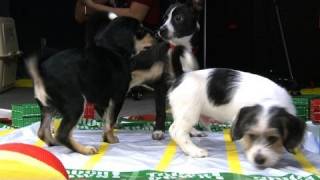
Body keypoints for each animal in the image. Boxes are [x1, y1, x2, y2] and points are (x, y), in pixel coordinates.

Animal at [26, 16, 154, 155]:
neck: (112, 49)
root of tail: (41, 71)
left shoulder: (101, 100)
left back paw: (55, 143)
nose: (156, 34)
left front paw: (106, 138)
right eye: (140, 30)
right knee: (62, 134)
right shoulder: (118, 97)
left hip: (48, 107)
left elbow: (106, 120)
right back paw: (85, 149)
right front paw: (111, 139)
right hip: (75, 104)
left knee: (42, 132)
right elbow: (111, 121)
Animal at [129, 0, 202, 140]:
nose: (160, 30)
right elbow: (160, 110)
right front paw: (158, 130)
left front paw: (191, 131)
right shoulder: (160, 86)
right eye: (164, 18)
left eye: (178, 18)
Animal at [168, 68, 304, 167]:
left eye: (273, 138)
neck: (268, 99)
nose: (259, 160)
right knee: (176, 131)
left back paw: (196, 132)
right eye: (251, 136)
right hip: (189, 110)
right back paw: (194, 151)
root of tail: (178, 80)